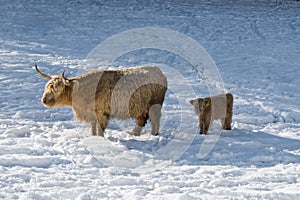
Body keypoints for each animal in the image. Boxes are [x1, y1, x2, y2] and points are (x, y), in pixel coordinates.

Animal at [36, 63, 168, 136]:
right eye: (47, 87)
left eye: (56, 89)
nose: (44, 100)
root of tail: (158, 71)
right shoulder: (92, 114)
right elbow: (93, 127)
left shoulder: (102, 113)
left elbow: (100, 129)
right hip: (141, 106)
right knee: (141, 120)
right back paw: (134, 134)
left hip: (154, 104)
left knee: (155, 120)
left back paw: (153, 135)